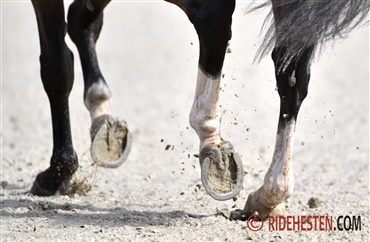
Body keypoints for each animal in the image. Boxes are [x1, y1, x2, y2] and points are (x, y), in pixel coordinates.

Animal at [30, 0, 368, 220]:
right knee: (292, 74)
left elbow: (57, 66)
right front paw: (103, 118)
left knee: (211, 15)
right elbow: (81, 20)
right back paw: (270, 193)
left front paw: (58, 171)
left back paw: (212, 145)